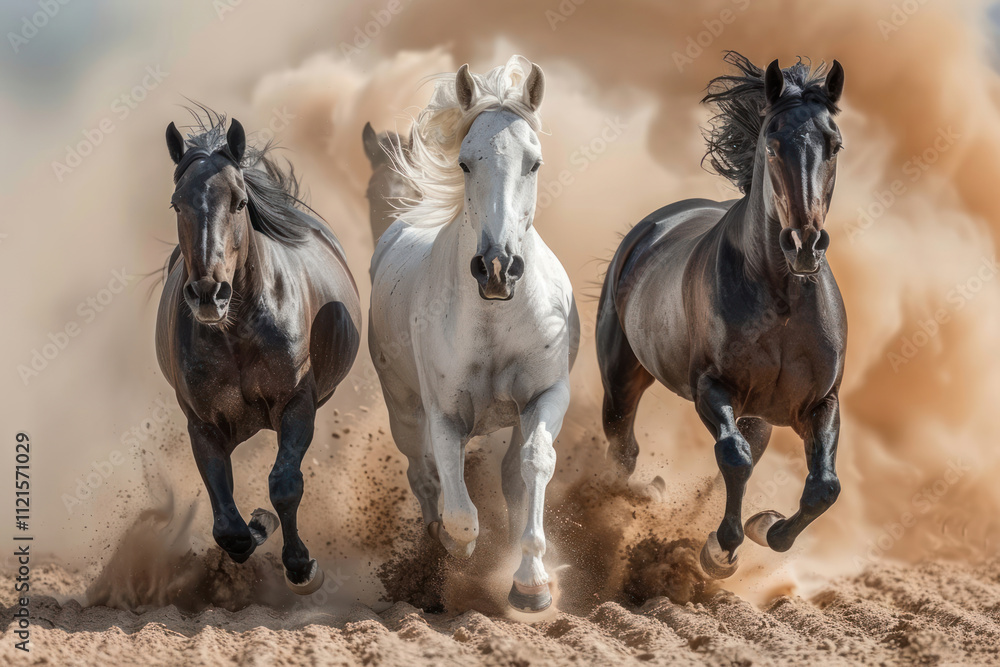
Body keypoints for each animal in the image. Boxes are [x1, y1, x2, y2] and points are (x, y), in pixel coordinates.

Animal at [156, 111, 361, 594]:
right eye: (177, 204)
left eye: (238, 201)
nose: (208, 294)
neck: (237, 334)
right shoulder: (204, 425)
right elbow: (227, 526)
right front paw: (256, 527)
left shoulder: (297, 404)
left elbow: (285, 484)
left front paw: (302, 567)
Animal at [368, 56, 579, 612]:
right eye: (465, 163)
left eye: (534, 163)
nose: (497, 269)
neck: (494, 322)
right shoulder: (444, 414)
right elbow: (460, 512)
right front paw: (455, 550)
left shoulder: (546, 395)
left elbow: (534, 464)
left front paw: (531, 583)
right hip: (402, 407)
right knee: (423, 475)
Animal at [596, 52, 847, 578]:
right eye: (772, 143)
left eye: (833, 145)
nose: (805, 244)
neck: (782, 302)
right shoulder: (711, 388)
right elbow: (734, 457)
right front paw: (720, 550)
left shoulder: (819, 402)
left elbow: (823, 488)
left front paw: (765, 526)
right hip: (622, 376)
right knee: (623, 450)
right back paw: (637, 496)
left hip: (761, 414)